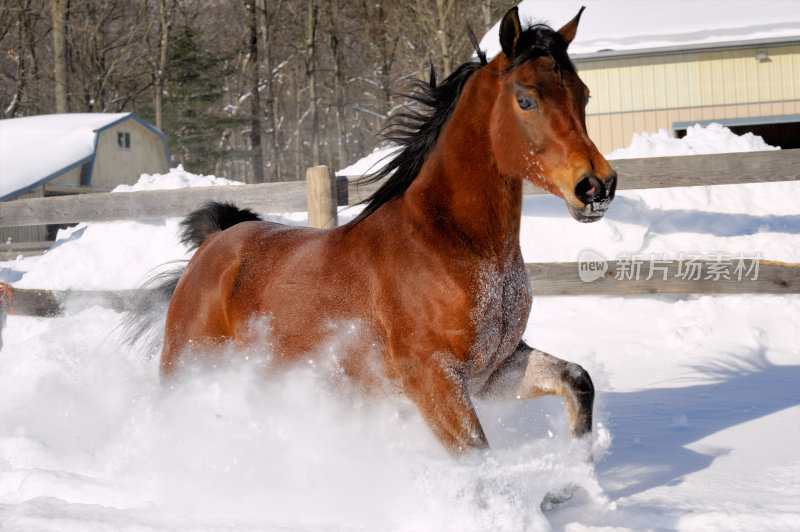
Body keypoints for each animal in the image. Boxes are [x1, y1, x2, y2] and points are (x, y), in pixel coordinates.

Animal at [128, 6, 616, 456]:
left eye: (584, 94)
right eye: (526, 99)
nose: (596, 186)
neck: (451, 244)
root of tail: (214, 243)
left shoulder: (494, 369)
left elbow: (578, 380)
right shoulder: (434, 379)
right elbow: (479, 457)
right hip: (186, 372)